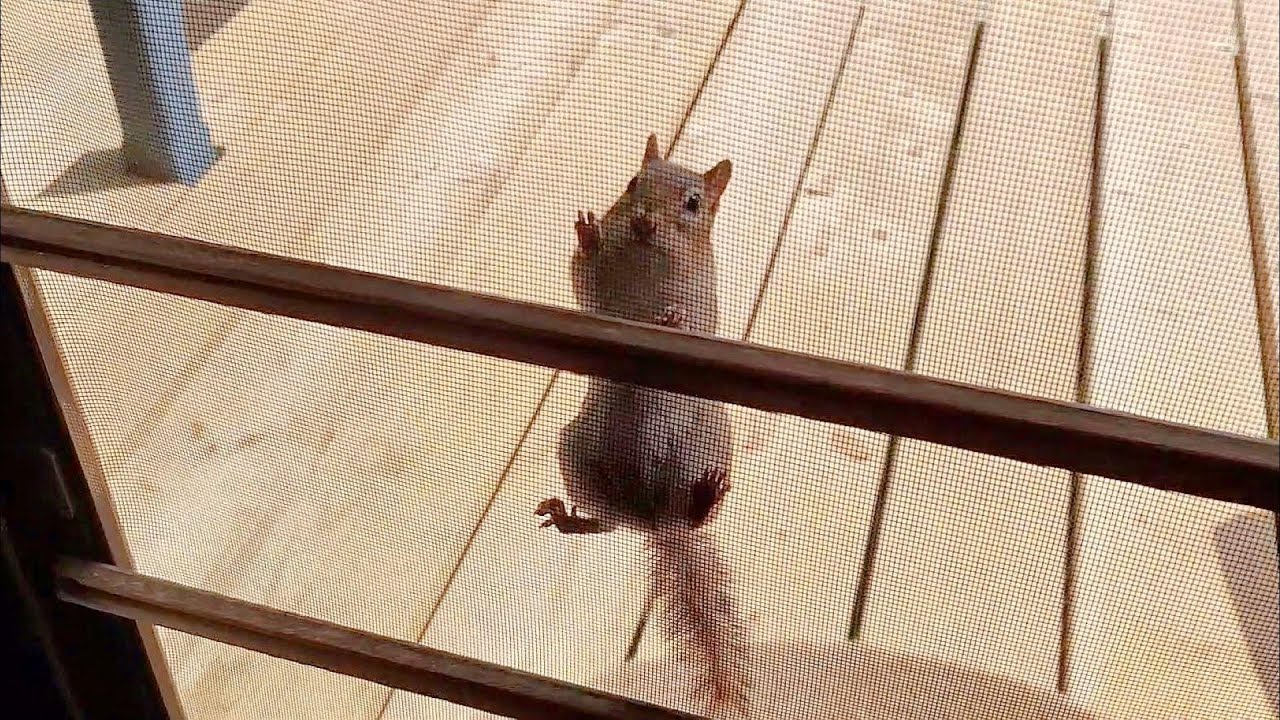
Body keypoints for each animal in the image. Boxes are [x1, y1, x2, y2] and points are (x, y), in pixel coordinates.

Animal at [535, 134, 749, 718]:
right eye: (633, 182)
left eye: (694, 204)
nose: (644, 219)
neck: (644, 265)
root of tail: (655, 514)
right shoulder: (598, 296)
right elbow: (584, 282)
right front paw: (590, 234)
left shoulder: (703, 298)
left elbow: (689, 320)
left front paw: (667, 318)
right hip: (577, 455)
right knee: (610, 522)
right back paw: (572, 519)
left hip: (710, 440)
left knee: (690, 517)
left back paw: (701, 501)